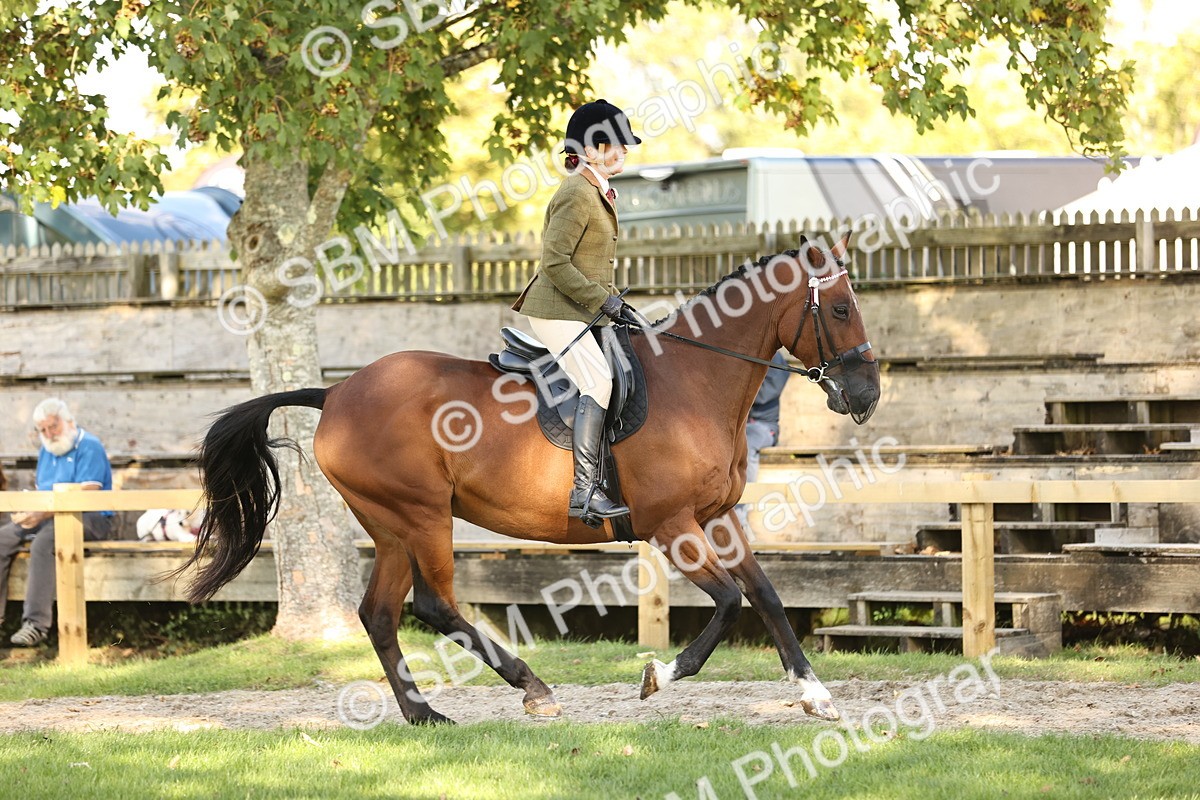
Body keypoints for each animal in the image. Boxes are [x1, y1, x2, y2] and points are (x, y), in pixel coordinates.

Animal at [179, 231, 880, 724]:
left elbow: (765, 596)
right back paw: (532, 688)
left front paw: (816, 695)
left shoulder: (717, 516)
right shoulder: (671, 525)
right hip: (421, 516)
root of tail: (336, 392)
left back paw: (424, 713)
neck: (696, 381)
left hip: (390, 528)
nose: (867, 396)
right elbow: (731, 601)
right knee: (433, 605)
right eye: (840, 309)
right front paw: (659, 676)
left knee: (379, 613)